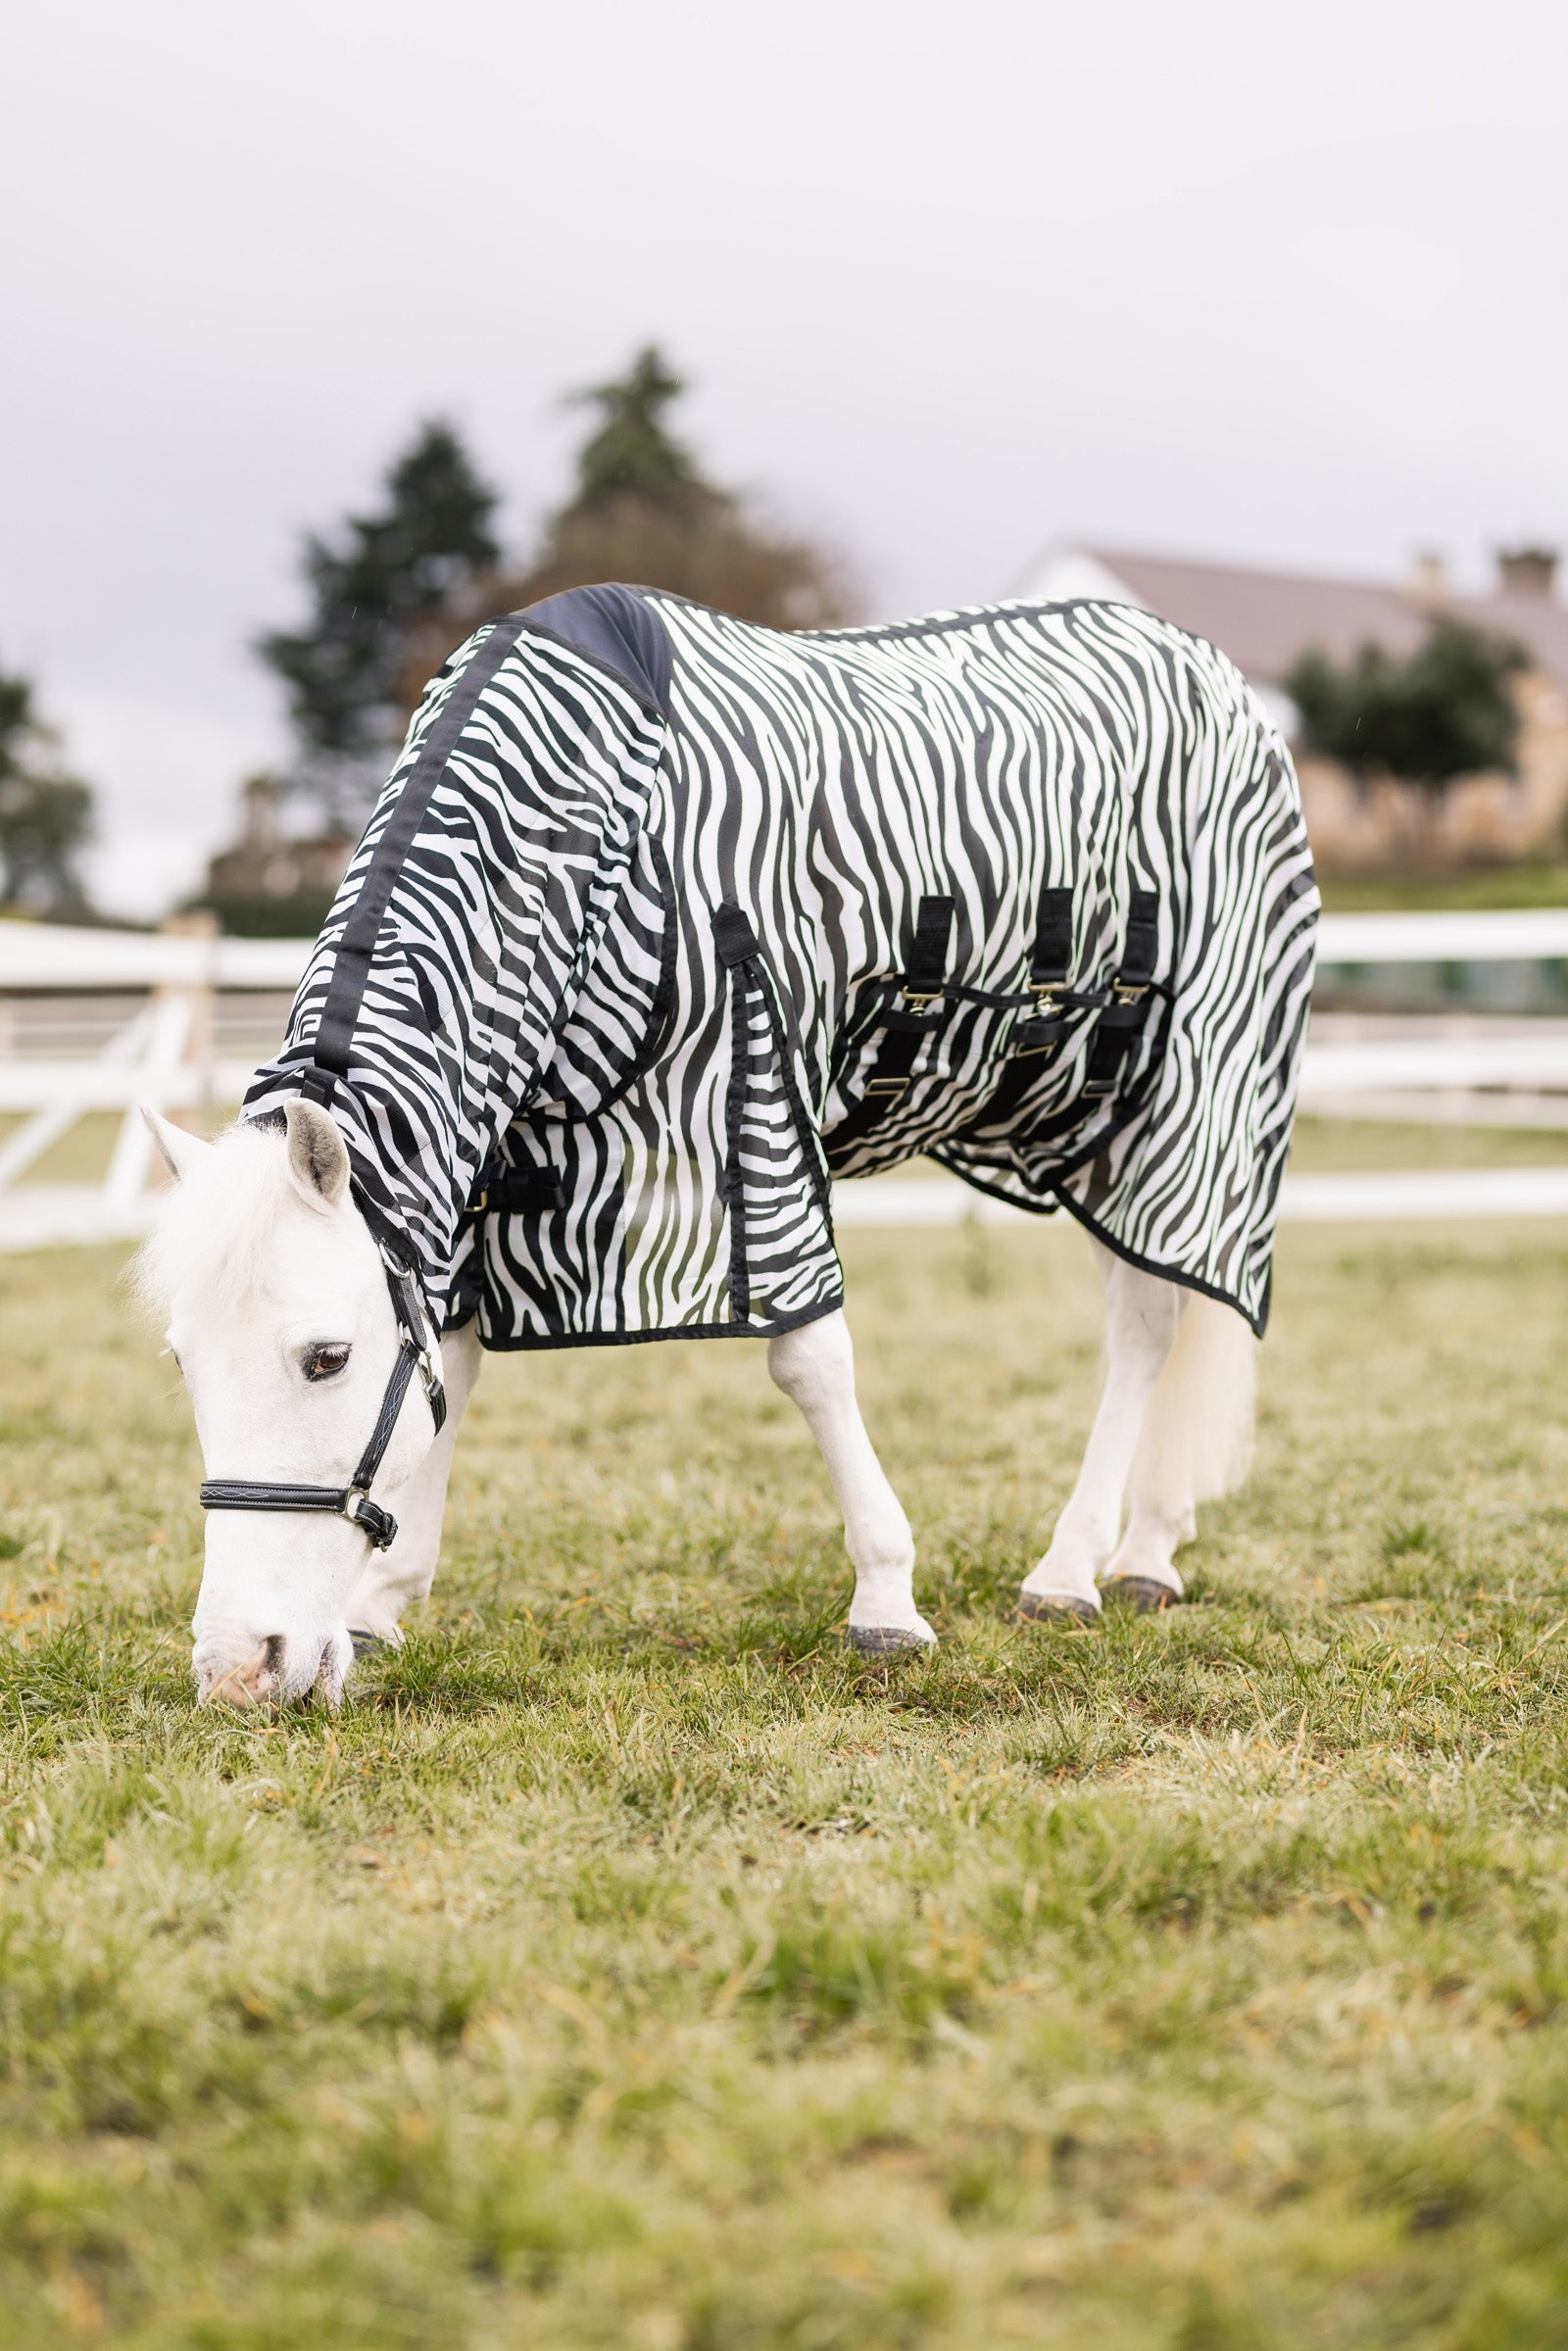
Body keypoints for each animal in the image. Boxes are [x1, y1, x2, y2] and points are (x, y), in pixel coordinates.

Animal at [136, 587, 1317, 1706]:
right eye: (183, 1363)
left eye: (325, 1357)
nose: (241, 1672)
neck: (596, 833)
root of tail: (1210, 673)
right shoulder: (487, 1174)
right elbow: (450, 1367)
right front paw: (383, 1600)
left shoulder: (757, 1110)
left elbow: (809, 1359)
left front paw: (886, 1598)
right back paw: (1148, 1547)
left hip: (1188, 1106)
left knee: (1153, 1319)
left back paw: (1074, 1570)